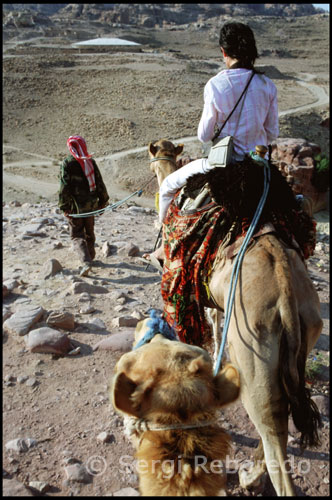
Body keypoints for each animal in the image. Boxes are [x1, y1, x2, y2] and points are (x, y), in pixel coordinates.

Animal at [147, 139, 322, 494]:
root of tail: (286, 293)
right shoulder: (214, 299)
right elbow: (215, 328)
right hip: (303, 335)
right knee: (280, 419)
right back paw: (251, 473)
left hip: (253, 351)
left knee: (272, 428)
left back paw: (253, 476)